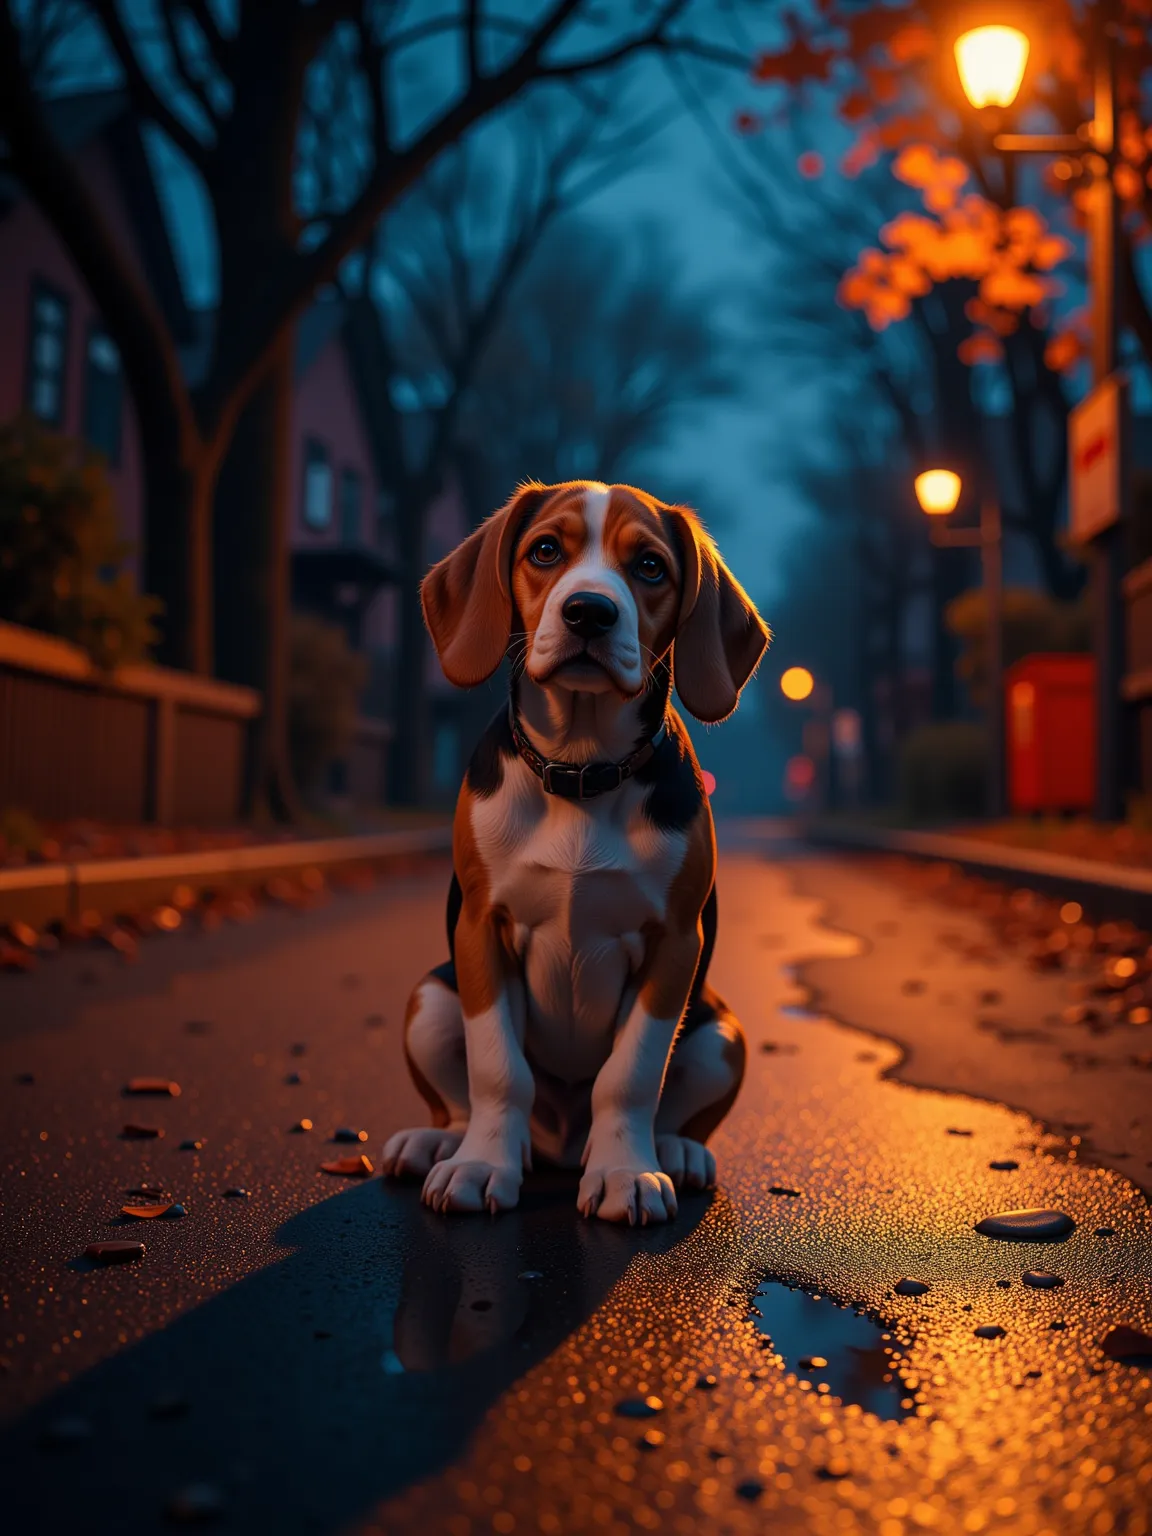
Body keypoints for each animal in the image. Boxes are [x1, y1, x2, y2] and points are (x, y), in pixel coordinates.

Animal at [384, 479, 771, 1222]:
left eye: (649, 566)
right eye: (544, 551)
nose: (589, 611)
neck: (581, 768)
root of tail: (559, 1143)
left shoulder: (673, 944)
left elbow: (632, 1074)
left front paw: (625, 1173)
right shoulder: (480, 930)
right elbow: (497, 1069)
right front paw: (482, 1165)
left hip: (722, 1032)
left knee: (673, 1108)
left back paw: (674, 1151)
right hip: (430, 997)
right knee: (458, 1100)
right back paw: (439, 1141)